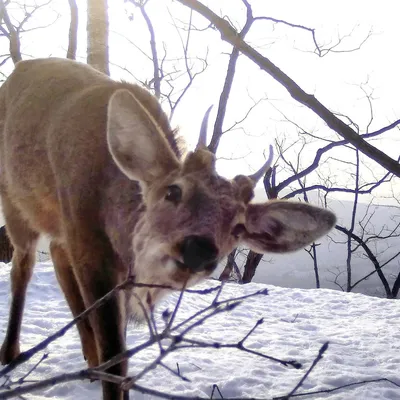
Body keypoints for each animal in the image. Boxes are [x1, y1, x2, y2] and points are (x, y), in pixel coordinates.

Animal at [0, 57, 338, 398]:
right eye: (173, 191)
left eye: (238, 228)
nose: (199, 249)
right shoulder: (88, 243)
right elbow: (115, 355)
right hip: (14, 200)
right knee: (23, 264)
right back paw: (11, 353)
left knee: (56, 255)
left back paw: (87, 359)